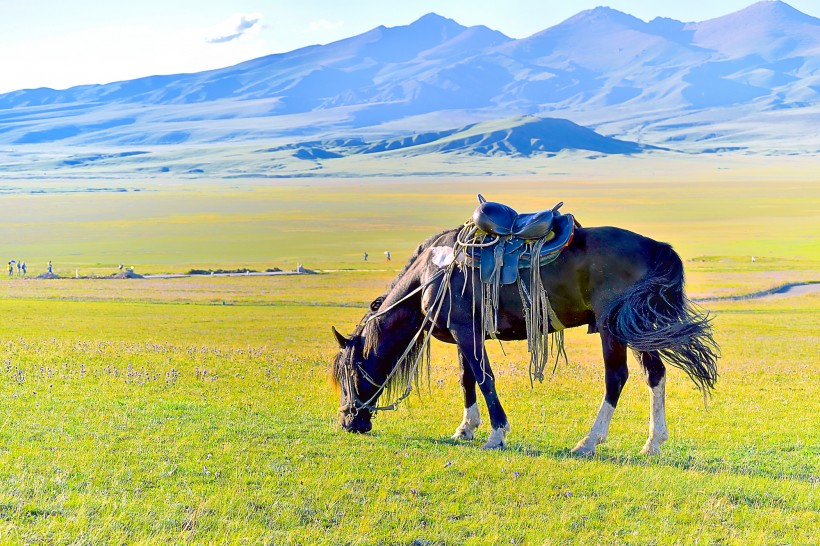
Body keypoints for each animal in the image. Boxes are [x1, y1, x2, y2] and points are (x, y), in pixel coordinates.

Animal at [330, 222, 716, 454]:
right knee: (655, 374)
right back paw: (653, 442)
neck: (432, 271)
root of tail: (654, 246)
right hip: (632, 327)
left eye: (348, 375)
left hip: (612, 328)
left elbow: (485, 378)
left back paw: (589, 442)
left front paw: (497, 434)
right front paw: (466, 428)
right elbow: (467, 379)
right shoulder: (465, 332)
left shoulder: (464, 330)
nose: (349, 422)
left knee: (616, 378)